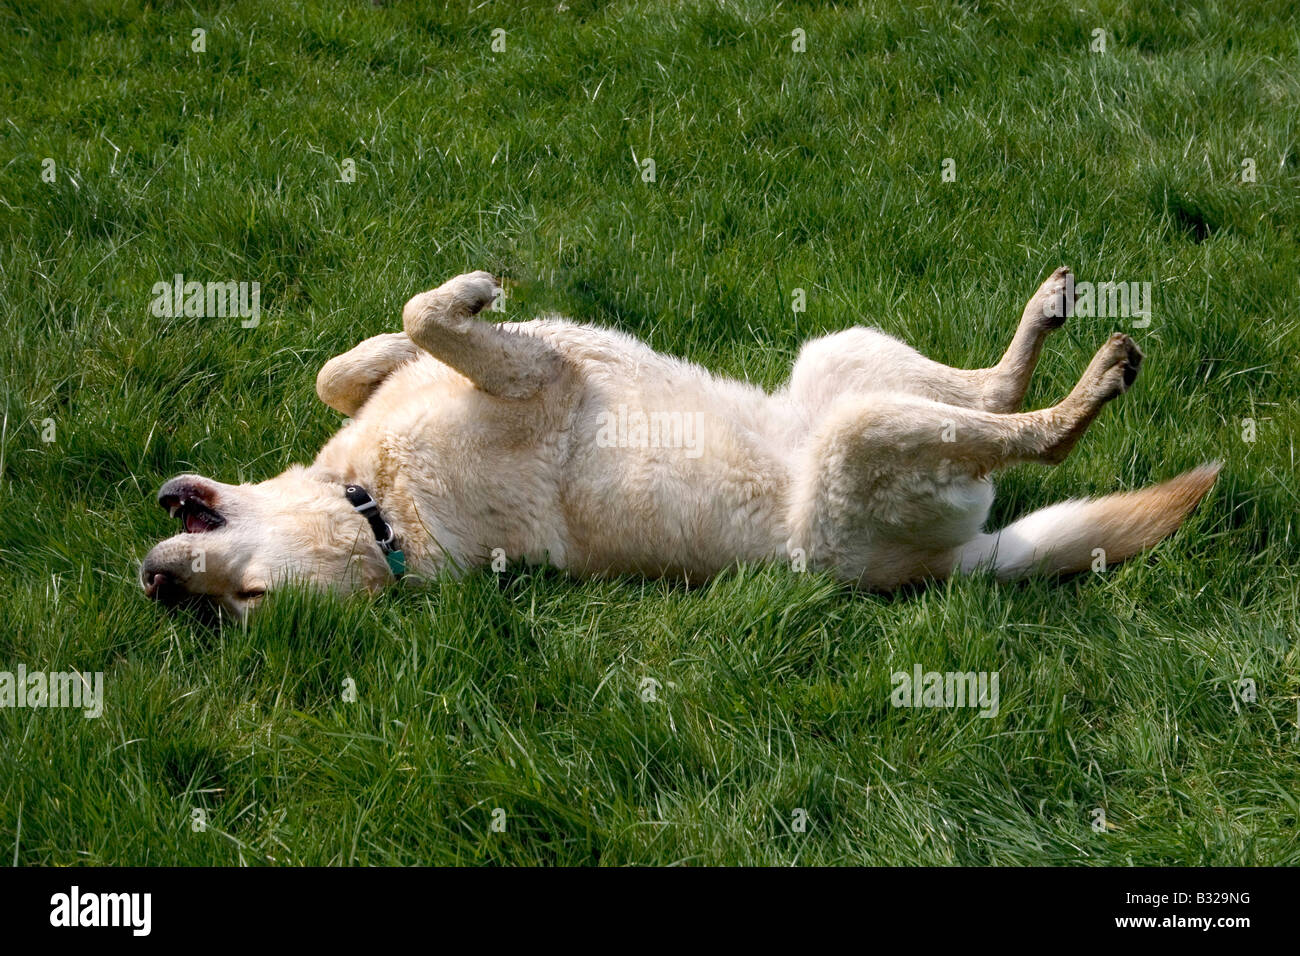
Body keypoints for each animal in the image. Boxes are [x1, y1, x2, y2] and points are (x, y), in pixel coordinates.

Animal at [142, 267, 1216, 621]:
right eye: (244, 604)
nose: (158, 587)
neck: (378, 512)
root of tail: (954, 563)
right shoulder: (536, 379)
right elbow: (426, 317)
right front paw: (470, 294)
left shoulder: (493, 368)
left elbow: (362, 355)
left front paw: (451, 305)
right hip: (866, 441)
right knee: (1028, 436)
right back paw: (1094, 381)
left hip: (840, 355)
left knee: (990, 386)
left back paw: (1048, 316)